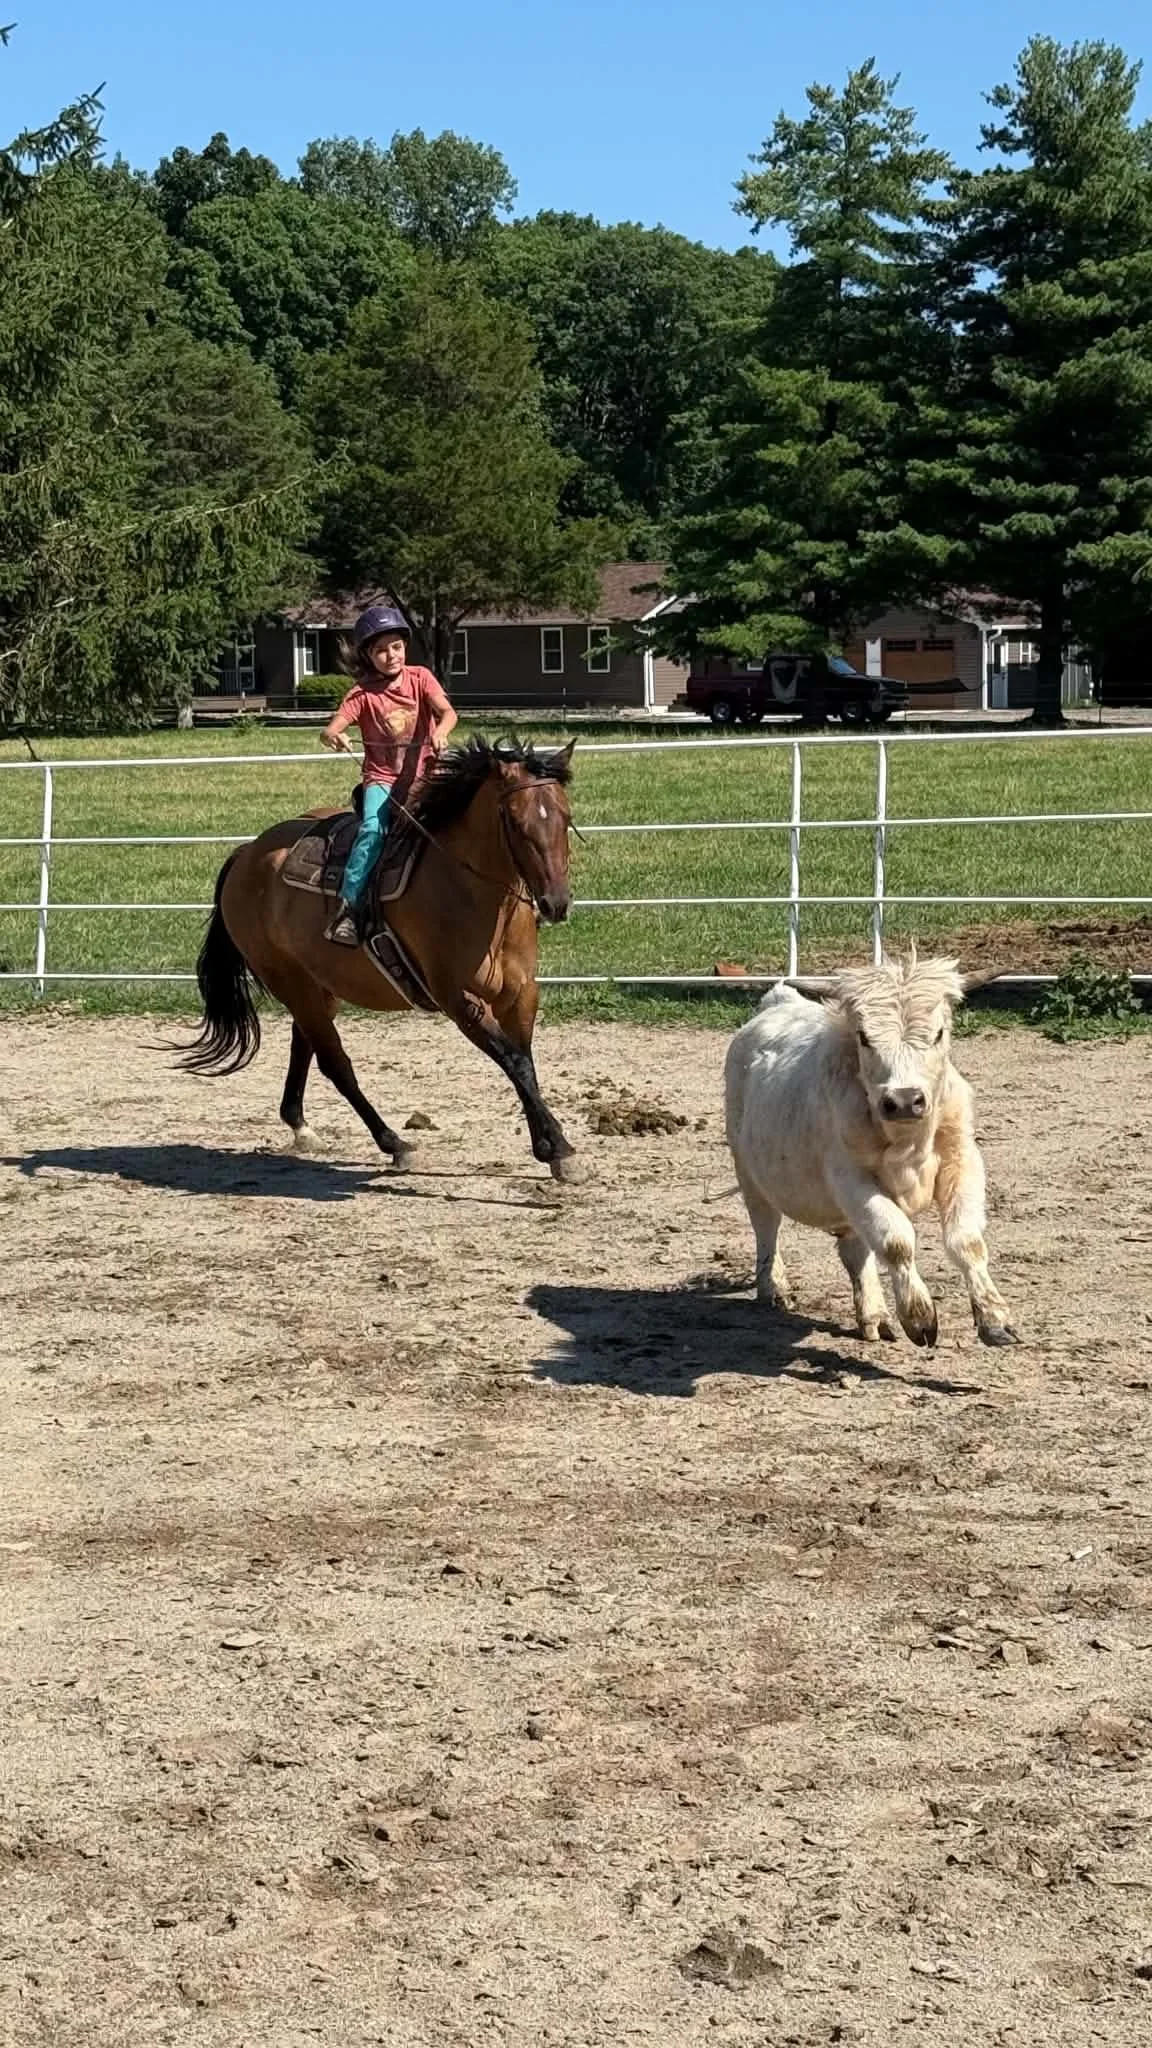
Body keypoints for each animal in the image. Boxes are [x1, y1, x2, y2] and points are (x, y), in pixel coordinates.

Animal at [179, 736, 582, 1182]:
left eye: (564, 815)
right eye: (513, 820)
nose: (556, 903)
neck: (472, 892)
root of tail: (247, 854)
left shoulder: (522, 993)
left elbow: (525, 1061)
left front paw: (550, 1147)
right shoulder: (459, 1000)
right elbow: (514, 1061)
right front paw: (560, 1148)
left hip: (318, 986)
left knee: (305, 1044)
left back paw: (301, 1126)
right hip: (289, 981)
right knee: (335, 1063)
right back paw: (395, 1143)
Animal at [724, 952, 1017, 1348]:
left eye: (939, 1033)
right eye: (864, 1037)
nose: (905, 1100)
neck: (908, 1142)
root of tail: (779, 1003)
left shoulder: (962, 1160)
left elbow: (966, 1241)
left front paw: (994, 1317)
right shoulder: (850, 1177)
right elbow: (896, 1241)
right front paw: (919, 1315)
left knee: (855, 1248)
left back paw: (874, 1314)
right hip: (749, 1172)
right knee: (766, 1227)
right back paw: (774, 1288)